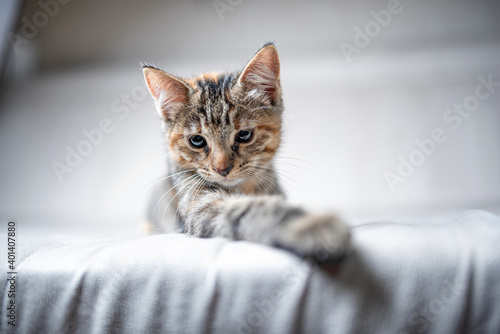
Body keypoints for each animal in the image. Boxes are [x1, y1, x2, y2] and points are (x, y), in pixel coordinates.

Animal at [143, 42, 350, 260]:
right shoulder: (200, 206)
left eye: (244, 135)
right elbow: (247, 210)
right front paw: (310, 225)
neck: (243, 188)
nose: (222, 169)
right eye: (197, 141)